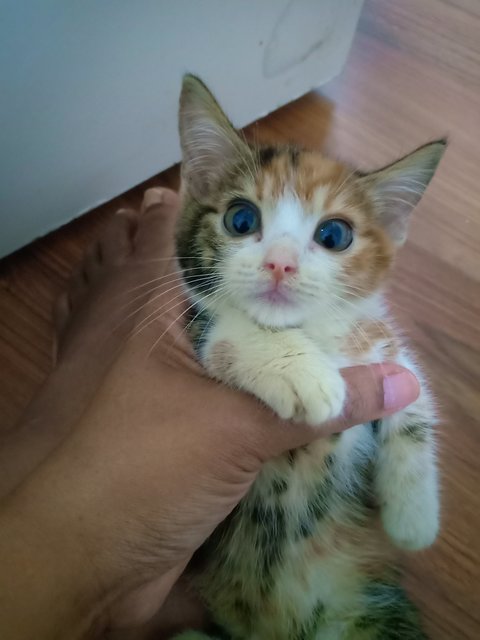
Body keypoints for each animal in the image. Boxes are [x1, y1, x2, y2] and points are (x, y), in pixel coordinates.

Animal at [172, 76, 442, 640]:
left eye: (334, 235)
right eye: (241, 219)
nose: (280, 263)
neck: (317, 334)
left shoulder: (377, 339)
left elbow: (411, 390)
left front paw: (414, 518)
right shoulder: (193, 328)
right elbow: (227, 333)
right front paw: (302, 372)